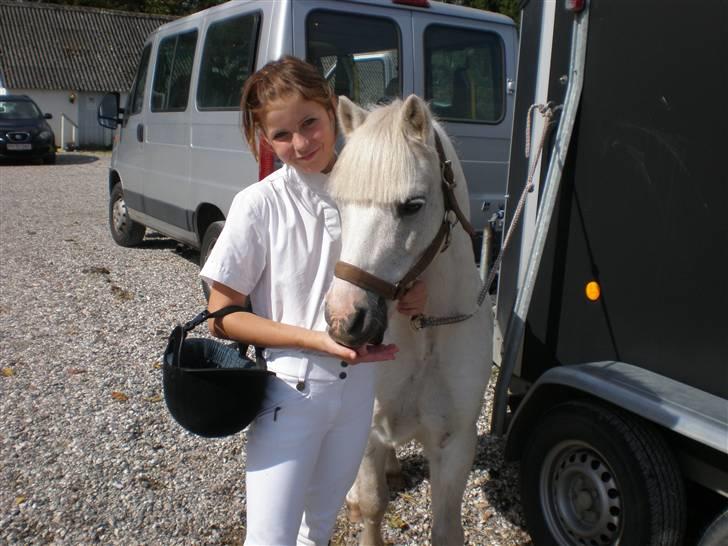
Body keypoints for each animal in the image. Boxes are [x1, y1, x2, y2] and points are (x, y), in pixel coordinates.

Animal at [326, 95, 492, 540]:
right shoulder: (367, 431)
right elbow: (372, 505)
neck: (425, 336)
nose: (345, 320)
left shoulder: (455, 444)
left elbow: (446, 528)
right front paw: (359, 505)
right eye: (340, 205)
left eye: (412, 205)